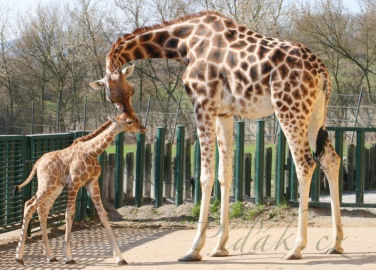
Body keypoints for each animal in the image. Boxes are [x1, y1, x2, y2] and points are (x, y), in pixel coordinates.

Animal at [13, 112, 145, 266]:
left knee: (42, 209)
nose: (143, 129)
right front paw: (68, 257)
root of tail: (38, 162)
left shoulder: (92, 183)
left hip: (55, 188)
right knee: (29, 205)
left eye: (136, 118)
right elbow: (69, 214)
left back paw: (50, 256)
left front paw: (120, 258)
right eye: (129, 121)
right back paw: (19, 257)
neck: (92, 151)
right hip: (47, 185)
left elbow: (103, 214)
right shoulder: (73, 183)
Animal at [89, 11, 342, 262]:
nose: (130, 118)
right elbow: (224, 174)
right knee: (331, 159)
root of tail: (322, 70)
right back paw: (335, 244)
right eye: (113, 97)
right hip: (315, 112)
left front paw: (194, 249)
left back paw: (296, 247)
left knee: (305, 163)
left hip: (289, 108)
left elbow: (205, 176)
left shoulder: (202, 104)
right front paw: (220, 246)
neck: (183, 43)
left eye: (129, 91)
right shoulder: (224, 113)